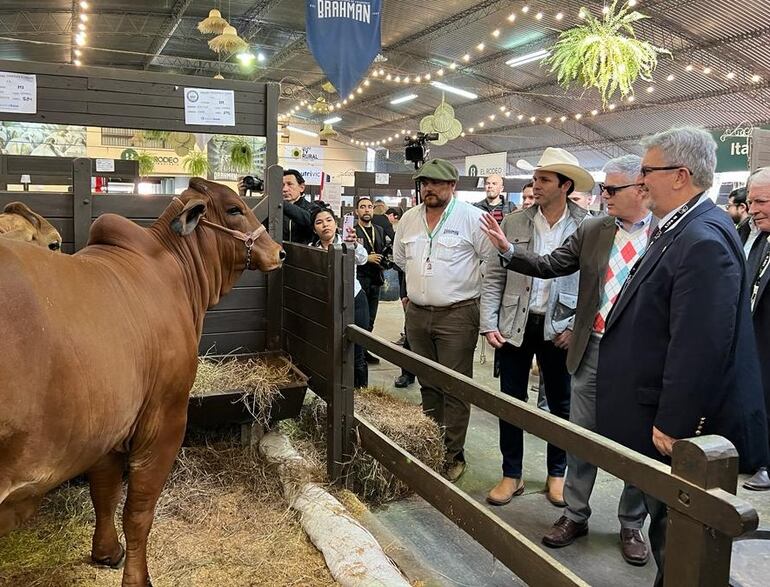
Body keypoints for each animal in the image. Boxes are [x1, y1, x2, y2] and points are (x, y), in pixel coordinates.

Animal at [0, 177, 284, 584]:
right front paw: (138, 577)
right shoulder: (164, 418)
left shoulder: (109, 425)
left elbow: (104, 492)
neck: (175, 272)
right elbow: (139, 512)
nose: (279, 251)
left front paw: (107, 552)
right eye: (234, 209)